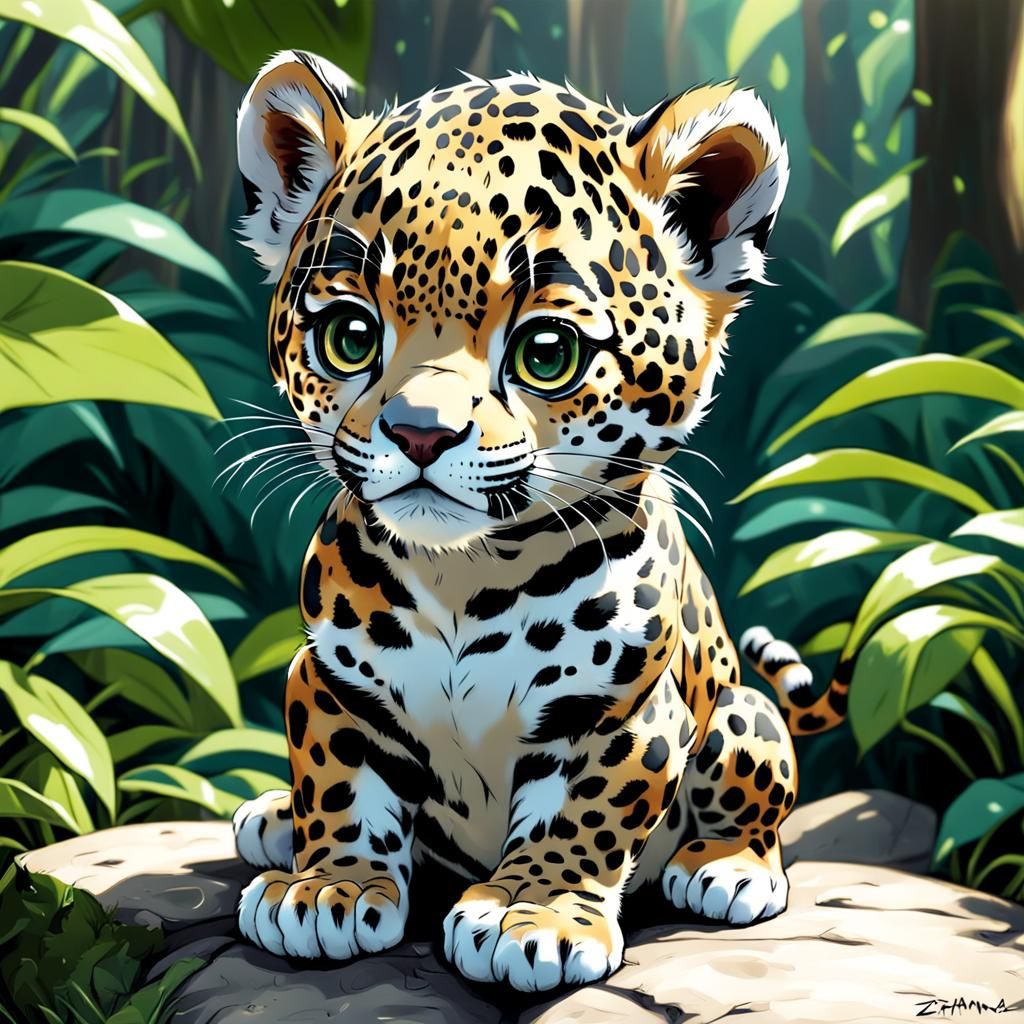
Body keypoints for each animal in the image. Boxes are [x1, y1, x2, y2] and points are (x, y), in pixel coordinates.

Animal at [229, 49, 845, 992]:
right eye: (349, 335)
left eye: (546, 353)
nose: (420, 432)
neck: (463, 573)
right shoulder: (328, 681)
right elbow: (340, 782)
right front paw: (331, 886)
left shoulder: (622, 714)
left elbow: (583, 815)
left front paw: (533, 913)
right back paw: (271, 820)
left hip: (742, 716)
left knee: (758, 780)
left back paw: (728, 868)